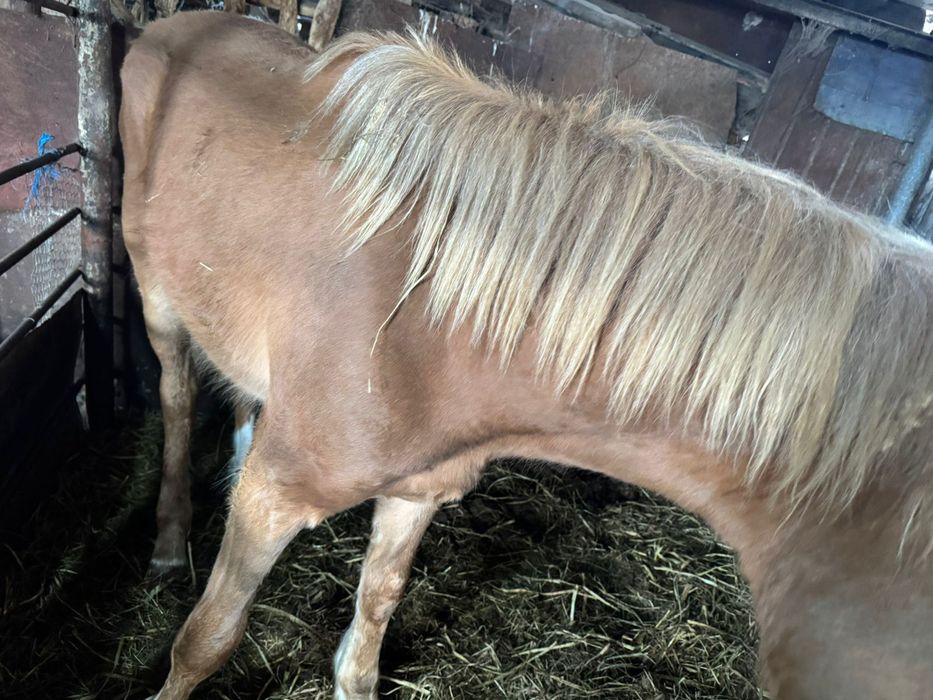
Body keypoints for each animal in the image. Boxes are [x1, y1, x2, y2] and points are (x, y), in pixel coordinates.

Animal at [119, 11, 933, 700]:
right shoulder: (278, 496)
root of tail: (172, 26)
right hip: (156, 295)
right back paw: (167, 543)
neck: (432, 319)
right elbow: (206, 639)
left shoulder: (419, 491)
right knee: (176, 395)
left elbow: (368, 634)